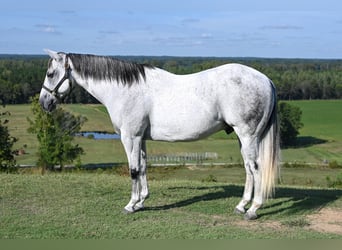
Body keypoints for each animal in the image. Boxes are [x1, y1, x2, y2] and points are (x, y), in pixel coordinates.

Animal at [40, 49, 280, 220]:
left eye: (51, 74)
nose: (44, 102)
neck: (124, 90)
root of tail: (266, 80)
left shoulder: (130, 137)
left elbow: (133, 170)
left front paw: (131, 205)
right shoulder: (141, 138)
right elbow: (144, 166)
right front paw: (142, 201)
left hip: (248, 135)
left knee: (256, 168)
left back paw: (253, 209)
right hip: (243, 138)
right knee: (248, 168)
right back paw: (241, 206)